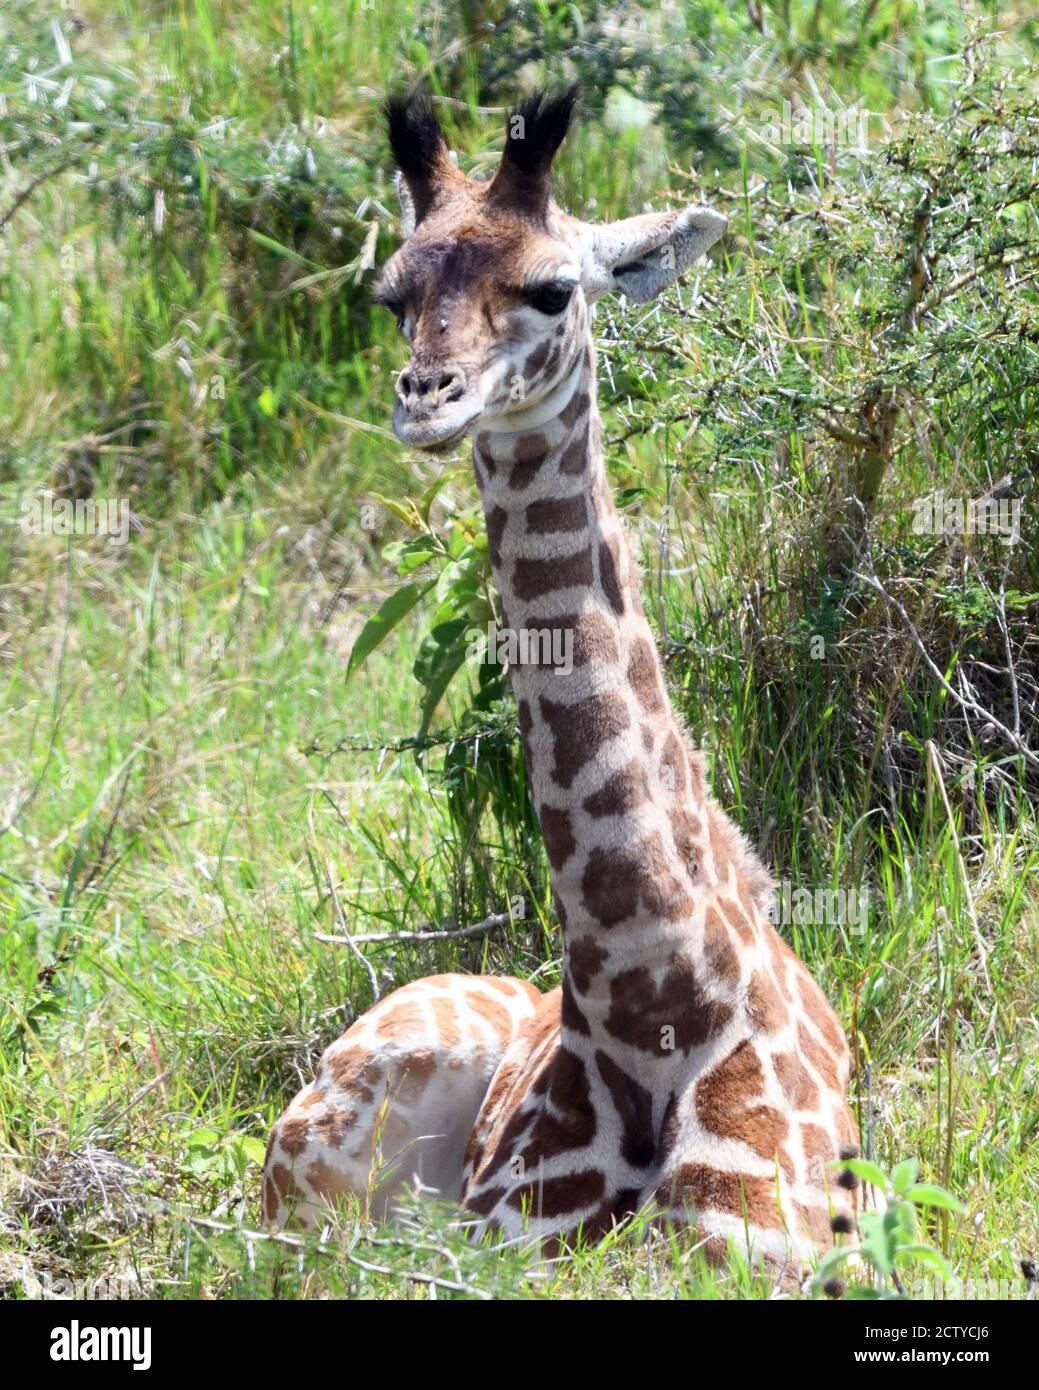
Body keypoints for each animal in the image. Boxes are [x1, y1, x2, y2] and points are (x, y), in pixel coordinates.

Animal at [263, 89, 860, 1269]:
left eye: (551, 289)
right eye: (392, 295)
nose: (425, 400)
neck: (650, 990)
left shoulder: (758, 1249)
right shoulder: (495, 1247)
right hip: (322, 1153)